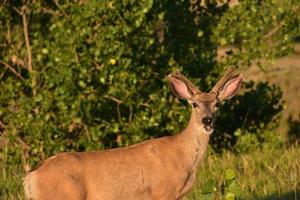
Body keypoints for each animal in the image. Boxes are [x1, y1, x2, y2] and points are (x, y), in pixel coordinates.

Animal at [24, 66, 244, 199]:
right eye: (194, 104)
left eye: (217, 104)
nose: (207, 120)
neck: (184, 157)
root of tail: (30, 178)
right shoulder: (162, 191)